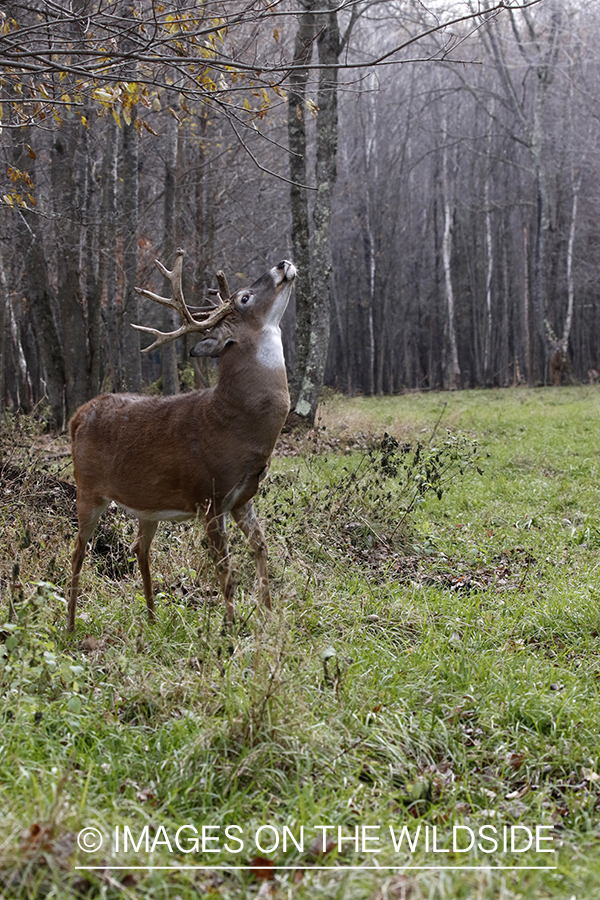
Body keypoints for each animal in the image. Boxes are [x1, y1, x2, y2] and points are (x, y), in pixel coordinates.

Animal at [67, 250, 296, 632]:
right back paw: (70, 627)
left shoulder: (242, 498)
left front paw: (269, 615)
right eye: (244, 298)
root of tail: (77, 416)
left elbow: (261, 547)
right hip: (87, 489)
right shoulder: (209, 496)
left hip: (147, 506)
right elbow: (225, 568)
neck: (237, 425)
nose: (283, 263)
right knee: (77, 551)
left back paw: (151, 617)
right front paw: (230, 629)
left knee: (139, 548)